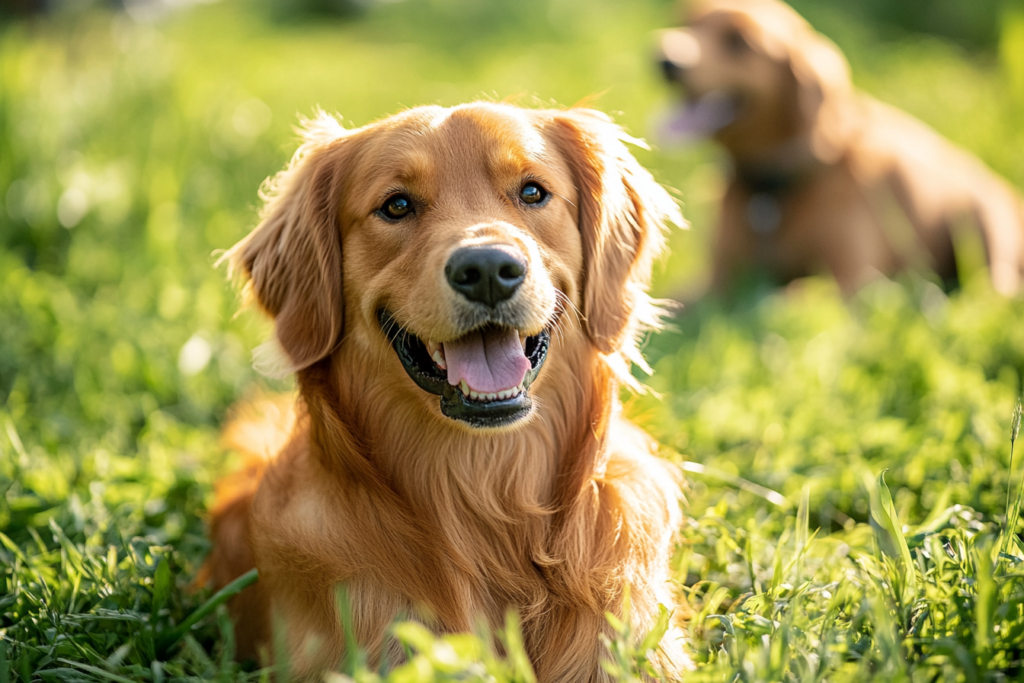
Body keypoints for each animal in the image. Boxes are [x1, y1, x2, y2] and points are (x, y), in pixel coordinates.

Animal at [655, 0, 1024, 296]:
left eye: (738, 42)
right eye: (686, 23)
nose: (664, 60)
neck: (773, 193)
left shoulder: (851, 279)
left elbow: (786, 296)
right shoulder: (716, 281)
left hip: (985, 219)